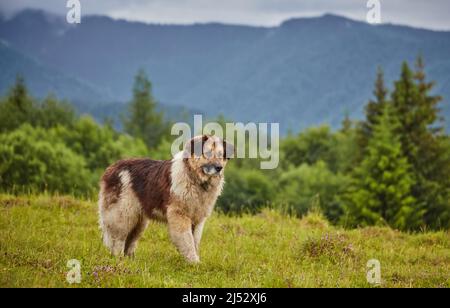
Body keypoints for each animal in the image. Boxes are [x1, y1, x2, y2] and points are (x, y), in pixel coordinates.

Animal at [97, 135, 232, 262]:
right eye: (208, 153)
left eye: (221, 155)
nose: (219, 168)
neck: (194, 178)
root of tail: (111, 168)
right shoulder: (180, 215)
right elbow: (187, 240)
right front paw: (194, 262)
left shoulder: (198, 219)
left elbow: (195, 241)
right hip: (123, 214)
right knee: (118, 239)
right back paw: (118, 260)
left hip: (139, 220)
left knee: (130, 240)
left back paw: (131, 260)